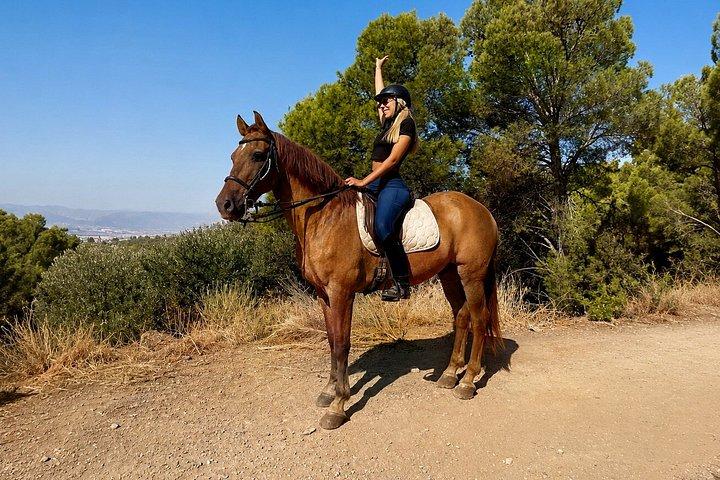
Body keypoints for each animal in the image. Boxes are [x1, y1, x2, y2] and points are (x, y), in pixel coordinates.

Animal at [216, 111, 502, 430]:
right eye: (232, 156)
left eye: (257, 155)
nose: (225, 205)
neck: (324, 217)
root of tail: (481, 210)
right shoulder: (324, 294)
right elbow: (331, 341)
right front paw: (329, 391)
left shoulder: (342, 293)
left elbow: (342, 344)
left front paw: (338, 406)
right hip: (449, 274)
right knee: (461, 317)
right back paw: (450, 374)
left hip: (471, 274)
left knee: (478, 319)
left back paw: (467, 381)